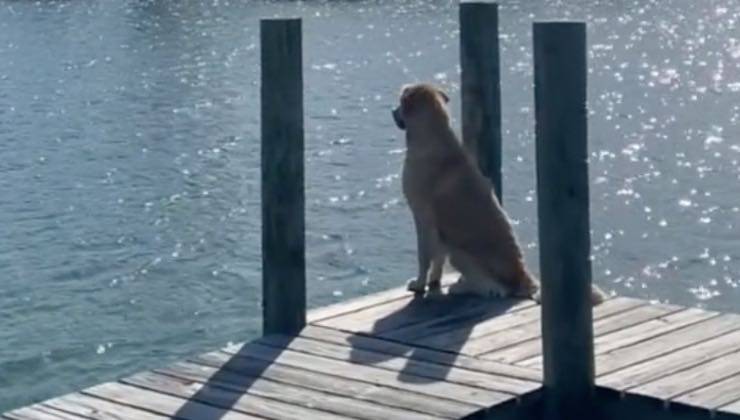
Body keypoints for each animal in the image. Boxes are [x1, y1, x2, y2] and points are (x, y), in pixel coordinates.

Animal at [390, 83, 604, 306]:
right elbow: (437, 260)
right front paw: (433, 282)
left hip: (459, 253)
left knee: (496, 289)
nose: (392, 111)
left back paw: (462, 287)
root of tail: (523, 277)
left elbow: (424, 258)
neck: (432, 134)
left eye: (401, 102)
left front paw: (419, 284)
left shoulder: (423, 219)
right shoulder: (439, 231)